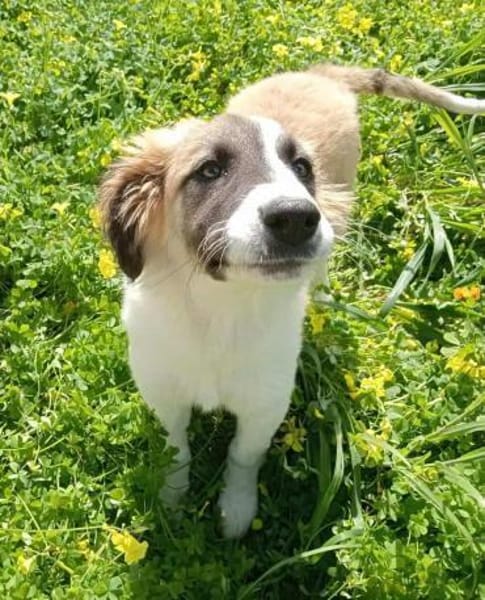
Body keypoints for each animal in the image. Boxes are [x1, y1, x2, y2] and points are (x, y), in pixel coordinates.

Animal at [99, 64, 484, 538]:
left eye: (302, 168)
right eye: (210, 170)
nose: (297, 218)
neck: (221, 310)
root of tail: (318, 72)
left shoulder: (266, 405)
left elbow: (243, 456)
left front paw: (236, 510)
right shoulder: (164, 391)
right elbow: (177, 449)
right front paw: (173, 499)